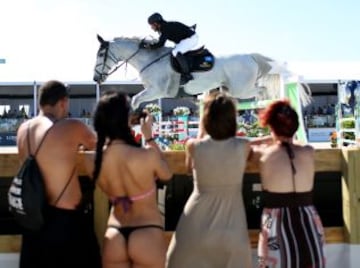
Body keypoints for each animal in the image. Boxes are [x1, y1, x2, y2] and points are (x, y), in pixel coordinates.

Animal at [93, 35, 310, 109]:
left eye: (101, 53)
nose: (96, 78)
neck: (148, 59)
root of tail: (250, 56)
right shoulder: (154, 92)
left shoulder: (157, 91)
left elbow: (136, 100)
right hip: (232, 88)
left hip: (240, 88)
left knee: (261, 91)